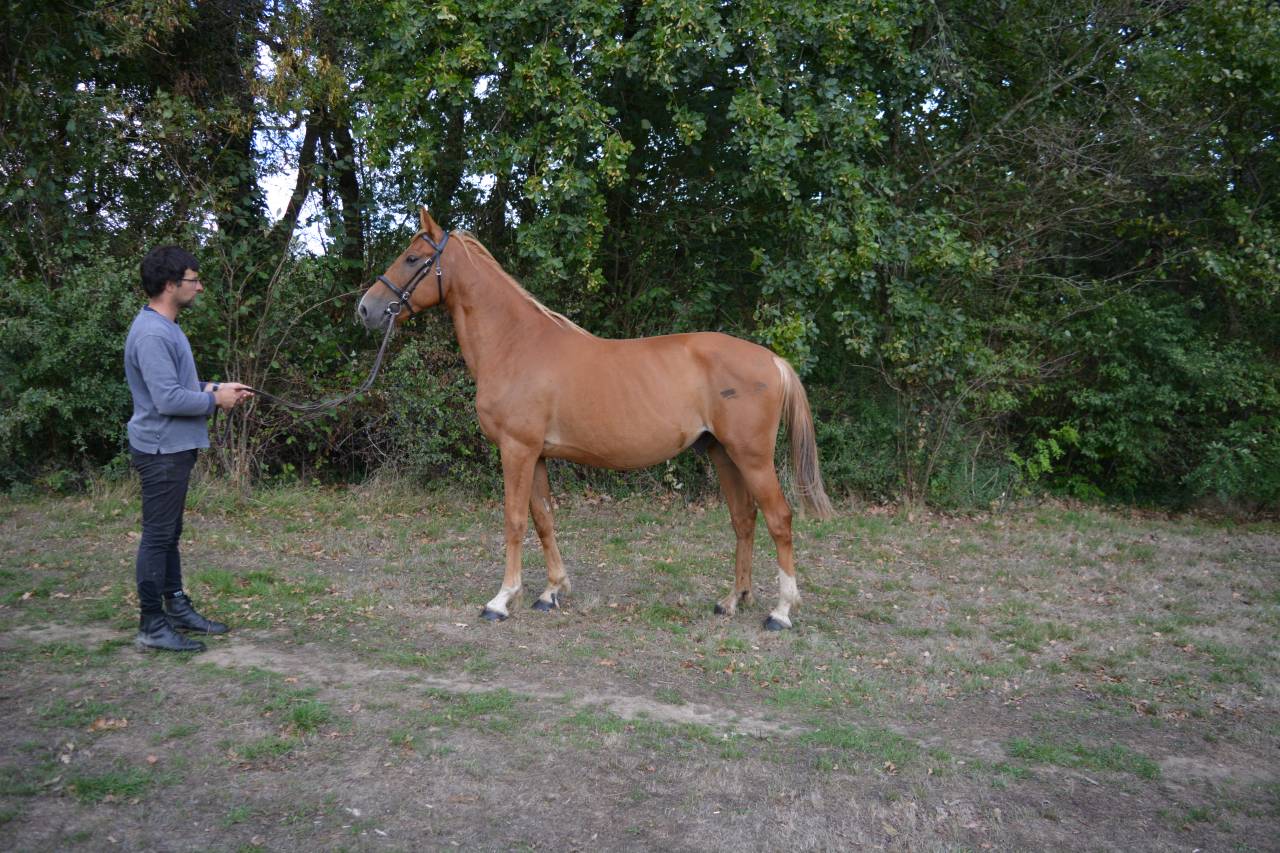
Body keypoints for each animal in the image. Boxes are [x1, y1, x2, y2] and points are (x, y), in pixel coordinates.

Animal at [357, 207, 833, 630]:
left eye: (413, 258)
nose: (366, 309)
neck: (515, 343)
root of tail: (772, 360)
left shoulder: (516, 450)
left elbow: (514, 520)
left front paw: (501, 600)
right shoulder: (537, 455)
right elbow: (543, 518)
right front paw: (551, 591)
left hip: (752, 457)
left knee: (779, 519)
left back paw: (781, 612)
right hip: (723, 453)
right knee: (743, 519)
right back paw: (733, 600)